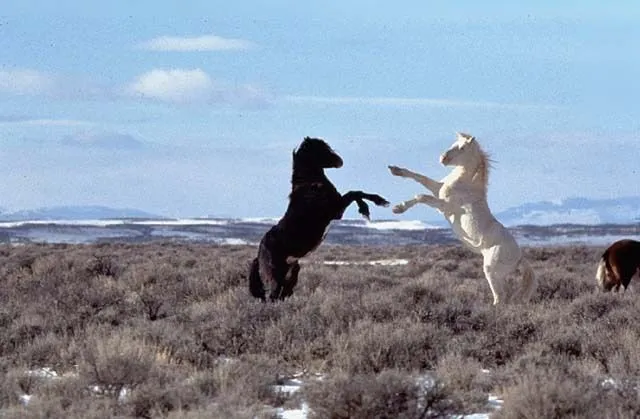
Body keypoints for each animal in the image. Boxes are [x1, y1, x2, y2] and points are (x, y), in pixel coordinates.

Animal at [250, 138, 390, 302]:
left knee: (281, 296)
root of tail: (259, 254)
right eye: (322, 148)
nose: (340, 161)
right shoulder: (336, 211)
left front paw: (371, 207)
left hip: (291, 272)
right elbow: (355, 193)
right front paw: (373, 206)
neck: (311, 184)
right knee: (271, 297)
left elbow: (357, 193)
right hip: (274, 277)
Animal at [390, 132, 536, 306]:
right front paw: (396, 170)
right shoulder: (437, 189)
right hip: (500, 276)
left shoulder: (444, 206)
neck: (465, 184)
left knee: (500, 297)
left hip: (491, 270)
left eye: (462, 148)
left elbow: (421, 196)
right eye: (453, 143)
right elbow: (421, 178)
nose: (443, 158)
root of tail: (520, 257)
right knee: (506, 295)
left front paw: (398, 208)